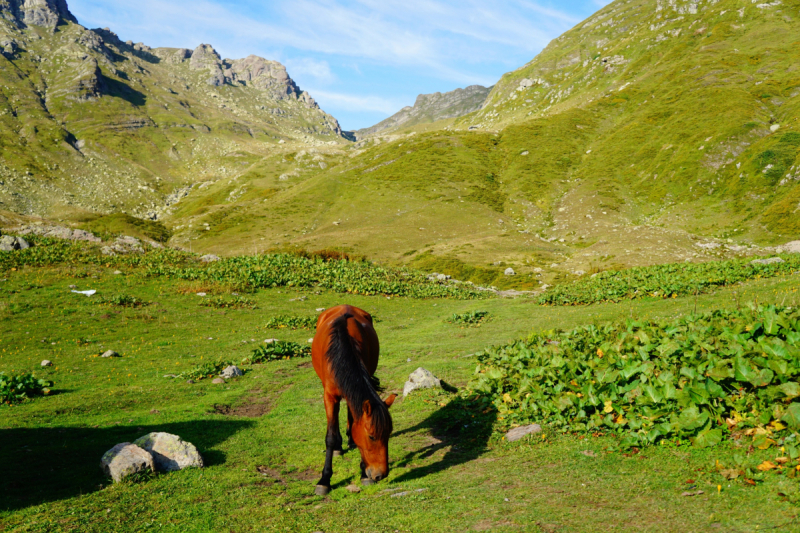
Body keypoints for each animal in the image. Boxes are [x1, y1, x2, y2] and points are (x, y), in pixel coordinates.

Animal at [310, 304, 396, 494]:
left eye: (388, 434)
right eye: (372, 436)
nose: (381, 474)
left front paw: (364, 474)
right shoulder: (329, 397)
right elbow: (330, 436)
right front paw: (324, 480)